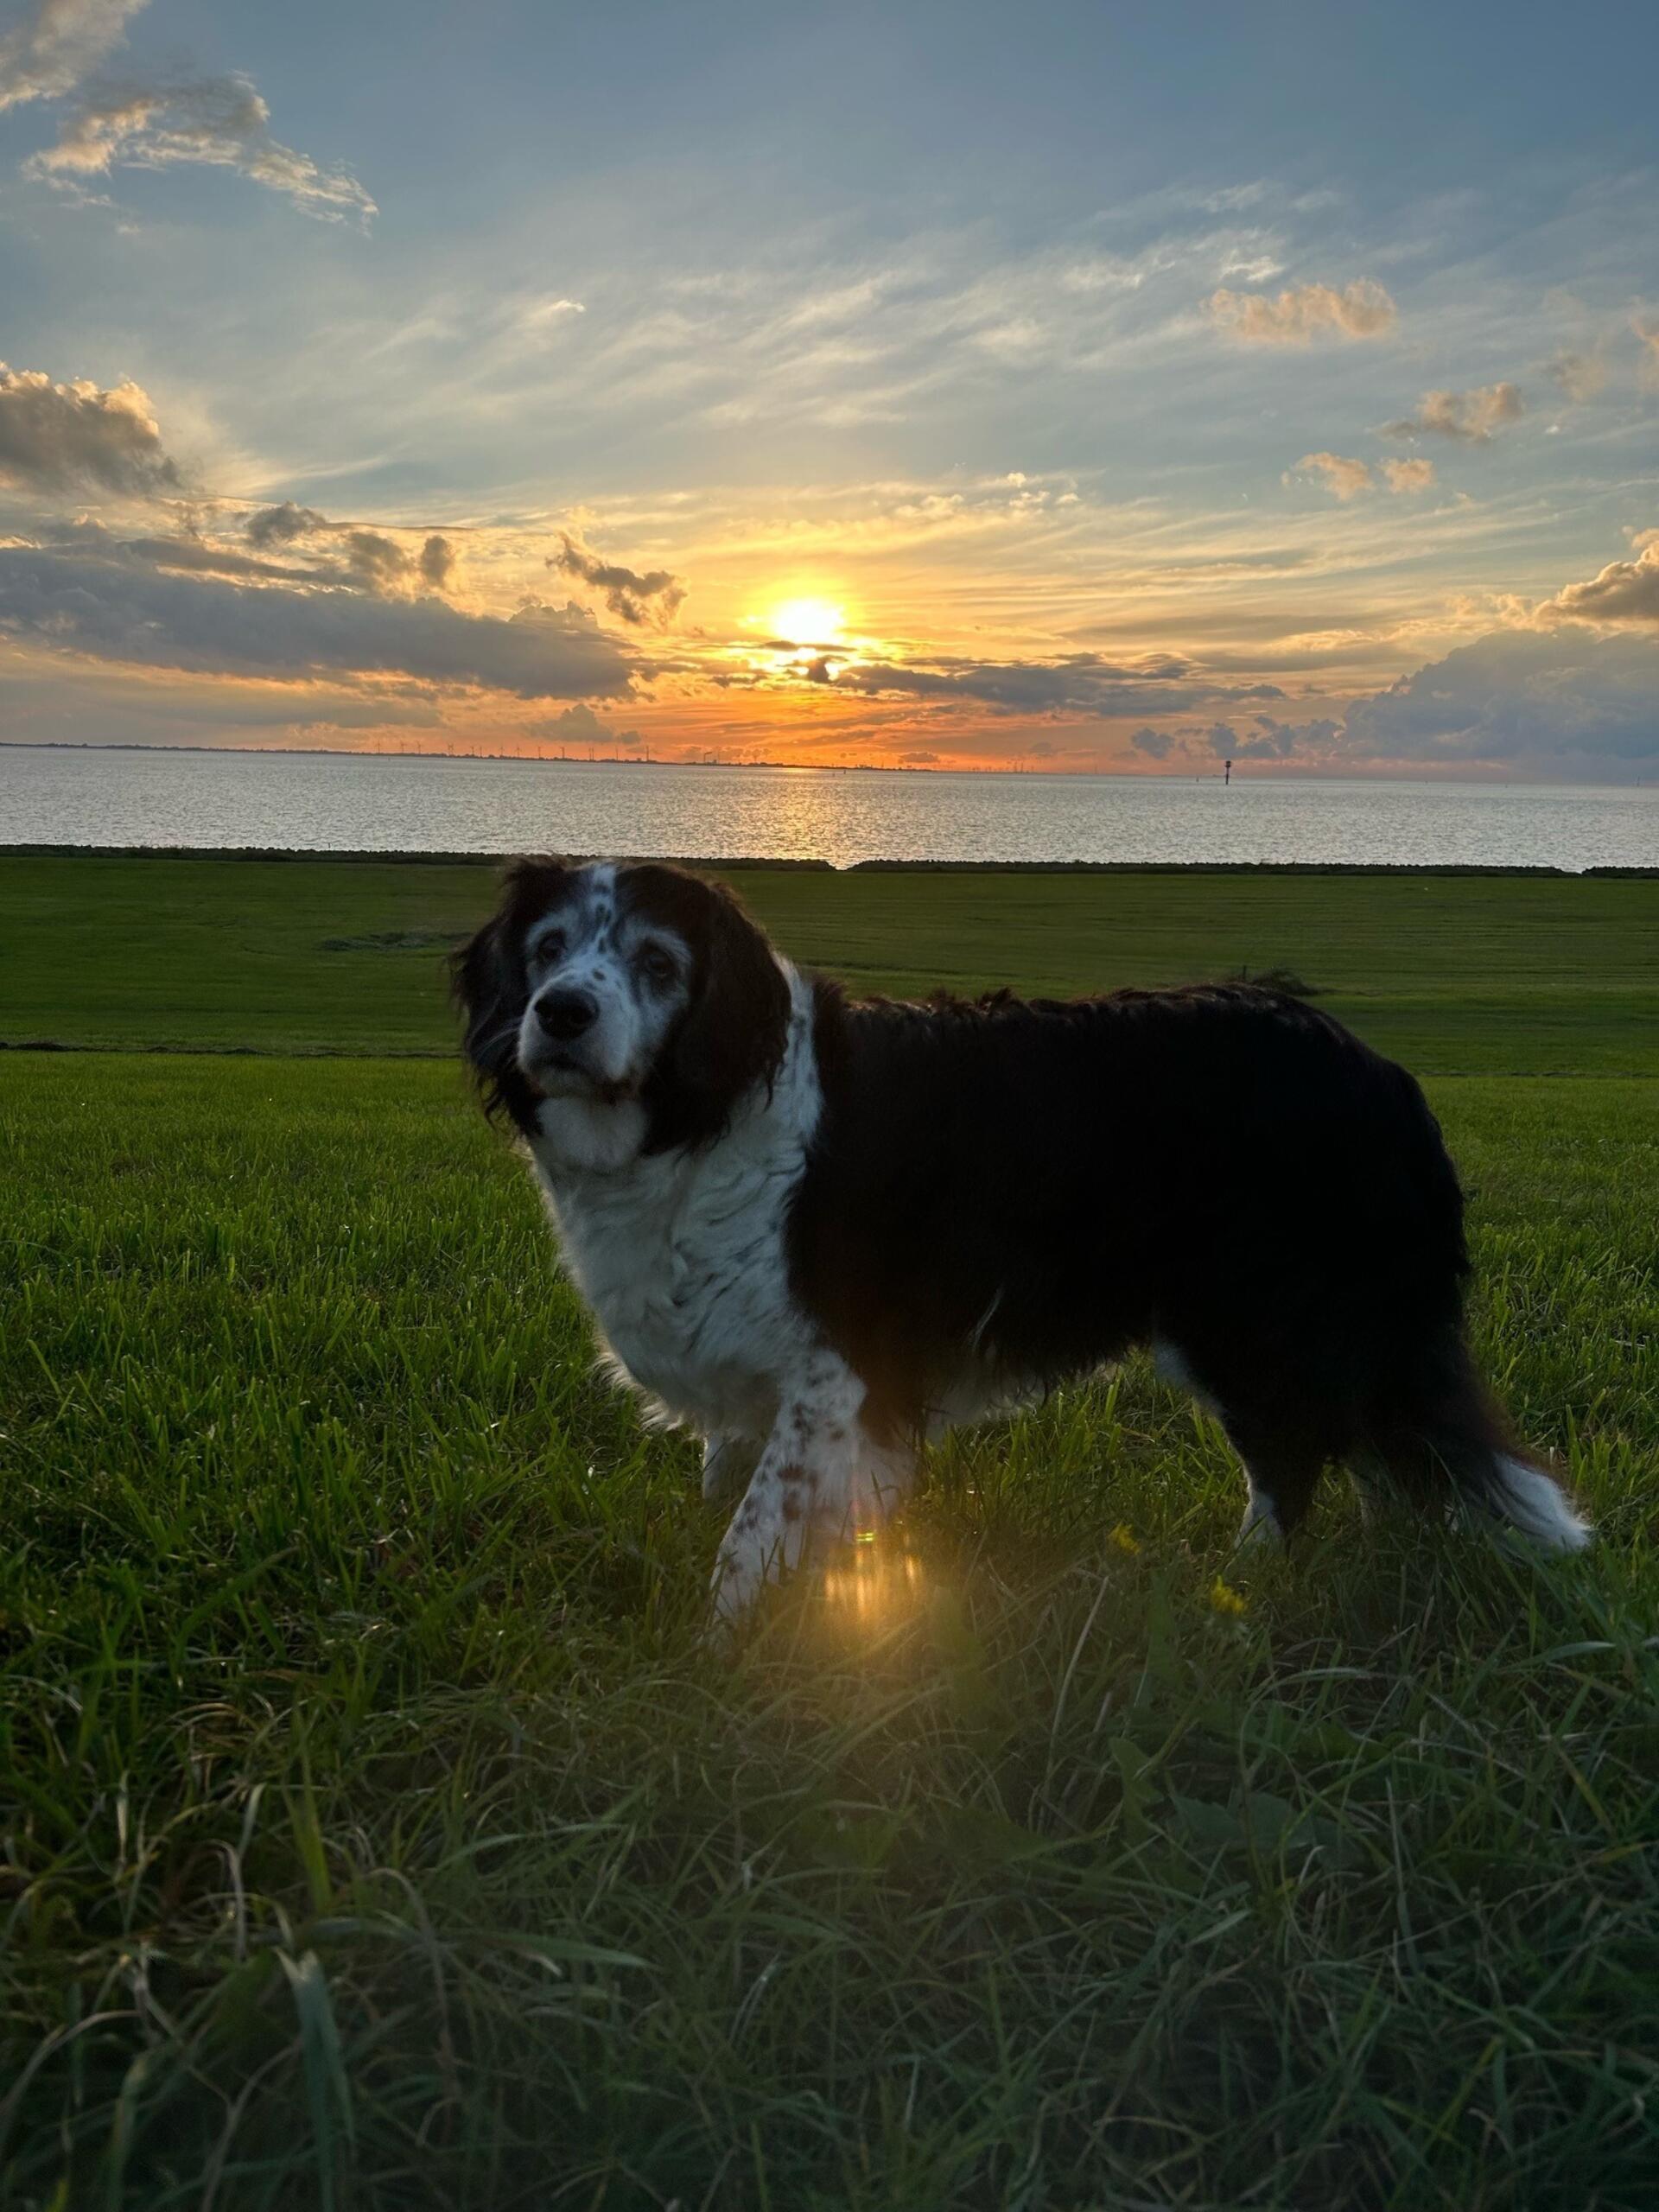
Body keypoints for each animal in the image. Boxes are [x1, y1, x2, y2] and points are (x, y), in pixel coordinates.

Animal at [457, 854, 1601, 1618]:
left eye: (657, 962)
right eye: (548, 950)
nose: (560, 1013)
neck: (703, 1111)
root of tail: (1381, 1071)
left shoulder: (837, 1372)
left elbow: (748, 1543)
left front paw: (724, 1657)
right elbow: (731, 1499)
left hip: (1250, 1318)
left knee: (1291, 1458)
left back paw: (1241, 1587)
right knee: (1354, 1448)